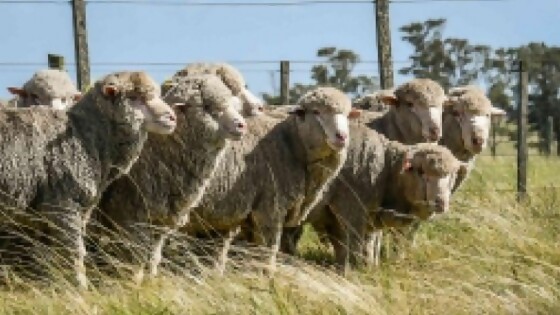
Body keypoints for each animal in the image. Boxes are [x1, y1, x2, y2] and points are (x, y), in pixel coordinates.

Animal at [0, 70, 177, 288]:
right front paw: (80, 286)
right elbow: (73, 250)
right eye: (135, 98)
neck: (86, 135)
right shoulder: (65, 202)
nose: (172, 118)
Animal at [95, 73, 248, 282]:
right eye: (208, 106)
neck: (161, 152)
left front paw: (150, 280)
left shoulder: (159, 221)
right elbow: (135, 257)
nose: (242, 125)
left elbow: (153, 256)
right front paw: (133, 281)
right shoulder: (129, 214)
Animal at [278, 123, 466, 270]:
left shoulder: (362, 217)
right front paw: (352, 272)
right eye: (420, 171)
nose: (440, 203)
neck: (387, 170)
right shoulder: (352, 209)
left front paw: (365, 268)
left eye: (452, 175)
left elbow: (365, 246)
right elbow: (353, 245)